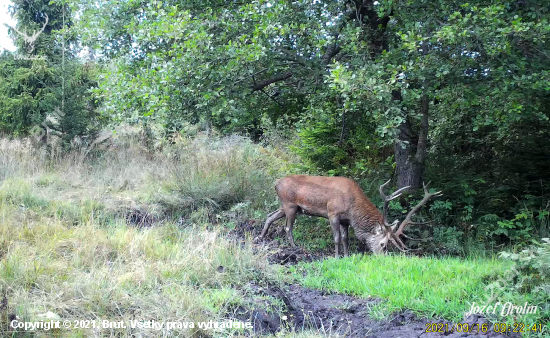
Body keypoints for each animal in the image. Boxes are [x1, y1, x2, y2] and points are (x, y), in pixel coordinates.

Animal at [260, 177, 444, 256]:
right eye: (383, 244)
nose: (382, 258)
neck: (352, 209)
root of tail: (276, 183)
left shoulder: (345, 221)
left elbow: (346, 239)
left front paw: (347, 256)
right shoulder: (333, 213)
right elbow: (336, 239)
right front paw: (336, 257)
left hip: (288, 206)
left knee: (270, 215)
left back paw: (261, 237)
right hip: (290, 204)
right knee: (287, 227)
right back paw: (294, 246)